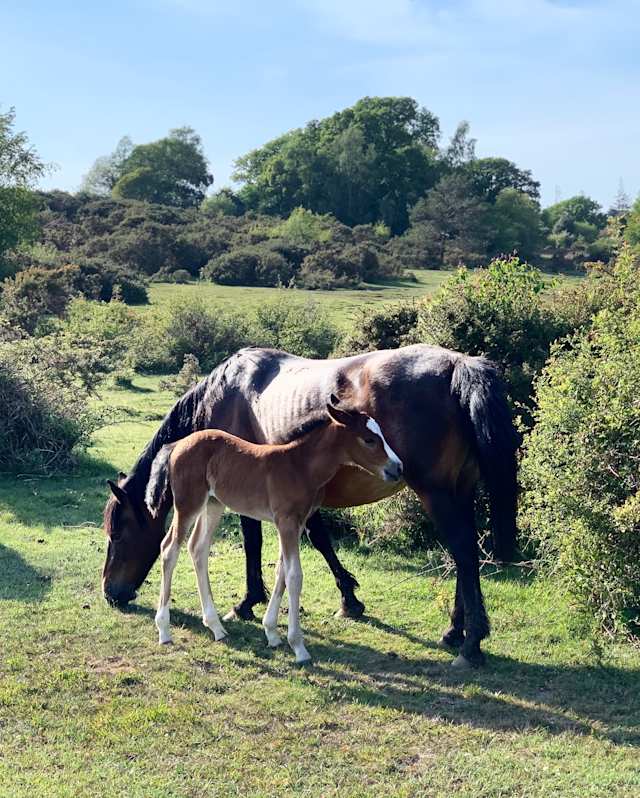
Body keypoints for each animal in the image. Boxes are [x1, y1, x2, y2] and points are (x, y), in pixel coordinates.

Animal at [144, 398, 403, 662]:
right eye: (369, 439)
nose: (397, 468)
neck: (300, 466)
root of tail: (176, 445)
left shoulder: (294, 524)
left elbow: (281, 571)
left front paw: (272, 633)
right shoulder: (286, 522)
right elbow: (294, 576)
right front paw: (298, 647)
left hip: (213, 504)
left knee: (198, 548)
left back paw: (216, 627)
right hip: (188, 504)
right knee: (169, 549)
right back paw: (164, 630)